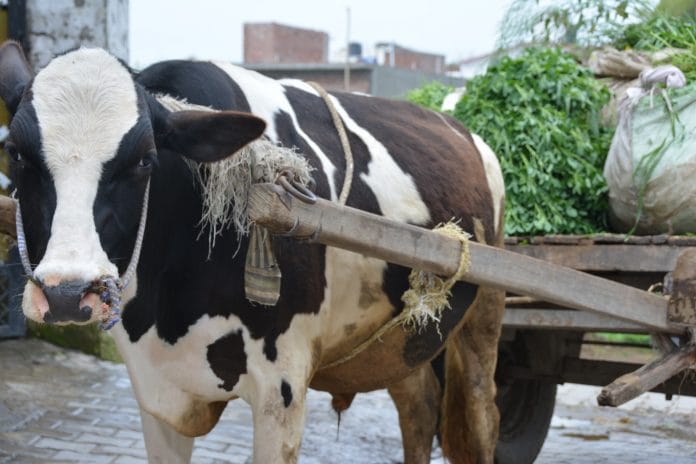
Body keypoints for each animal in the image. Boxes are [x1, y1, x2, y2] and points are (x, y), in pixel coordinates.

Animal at [0, 41, 506, 463]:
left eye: (144, 159)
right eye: (16, 153)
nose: (67, 294)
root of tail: (465, 131)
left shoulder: (281, 390)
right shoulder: (157, 390)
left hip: (484, 316)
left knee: (483, 418)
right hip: (405, 336)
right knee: (419, 408)